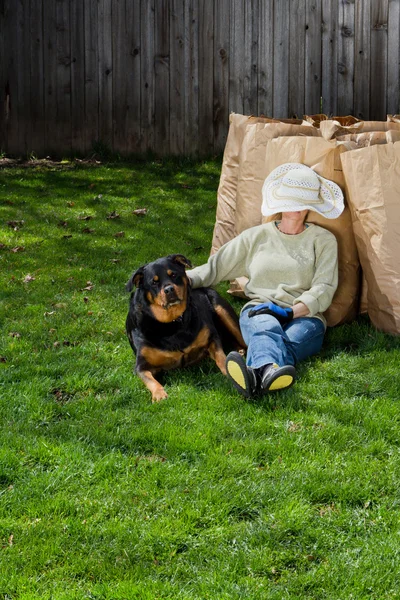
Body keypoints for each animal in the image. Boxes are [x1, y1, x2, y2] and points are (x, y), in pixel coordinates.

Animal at [125, 254, 245, 404]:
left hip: (222, 310)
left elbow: (221, 356)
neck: (172, 322)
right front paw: (159, 394)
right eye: (154, 282)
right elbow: (149, 379)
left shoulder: (211, 337)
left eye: (173, 274)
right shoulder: (141, 365)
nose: (169, 289)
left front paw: (231, 371)